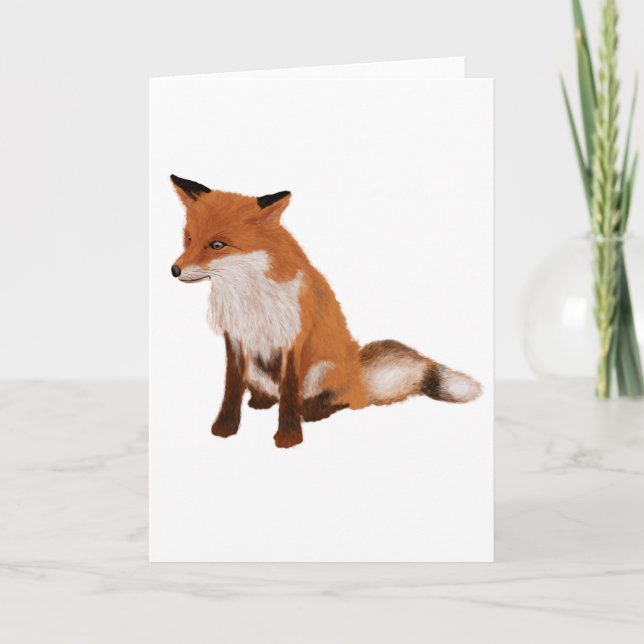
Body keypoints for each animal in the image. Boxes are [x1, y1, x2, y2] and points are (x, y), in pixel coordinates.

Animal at [169, 174, 482, 448]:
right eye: (188, 238)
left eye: (217, 245)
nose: (174, 270)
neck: (249, 296)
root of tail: (356, 372)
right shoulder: (235, 338)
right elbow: (231, 389)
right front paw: (224, 428)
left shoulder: (292, 337)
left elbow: (289, 395)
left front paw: (289, 438)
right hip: (258, 370)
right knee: (271, 394)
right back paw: (262, 401)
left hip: (322, 370)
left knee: (330, 401)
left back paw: (312, 412)